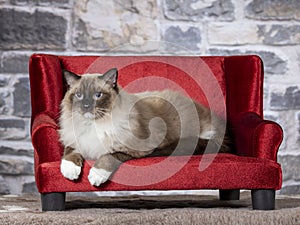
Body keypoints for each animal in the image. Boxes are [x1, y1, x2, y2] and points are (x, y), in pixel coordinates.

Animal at [58, 68, 232, 186]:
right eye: (79, 95)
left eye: (98, 95)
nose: (86, 106)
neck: (95, 125)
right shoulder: (76, 141)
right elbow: (69, 154)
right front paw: (70, 172)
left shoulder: (133, 149)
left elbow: (107, 156)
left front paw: (95, 176)